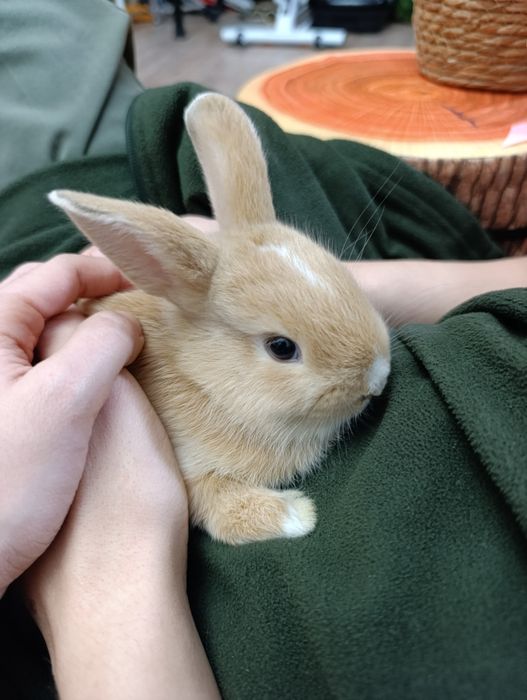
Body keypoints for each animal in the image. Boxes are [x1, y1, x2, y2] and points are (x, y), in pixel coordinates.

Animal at [48, 93, 391, 545]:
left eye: (346, 277)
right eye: (282, 348)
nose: (378, 376)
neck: (205, 381)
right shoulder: (197, 473)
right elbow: (225, 511)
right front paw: (299, 515)